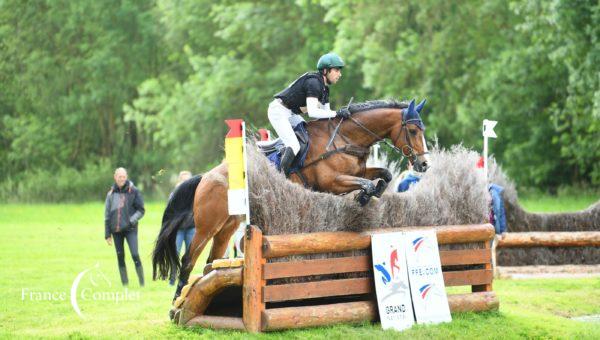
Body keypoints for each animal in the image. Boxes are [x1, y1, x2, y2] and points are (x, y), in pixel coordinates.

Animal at [152, 97, 428, 300]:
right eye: (414, 130)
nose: (424, 165)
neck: (346, 138)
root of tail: (206, 176)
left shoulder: (358, 171)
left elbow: (383, 176)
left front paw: (370, 195)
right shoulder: (332, 181)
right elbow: (368, 183)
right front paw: (362, 197)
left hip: (228, 225)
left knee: (212, 261)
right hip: (208, 224)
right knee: (189, 259)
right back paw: (176, 301)